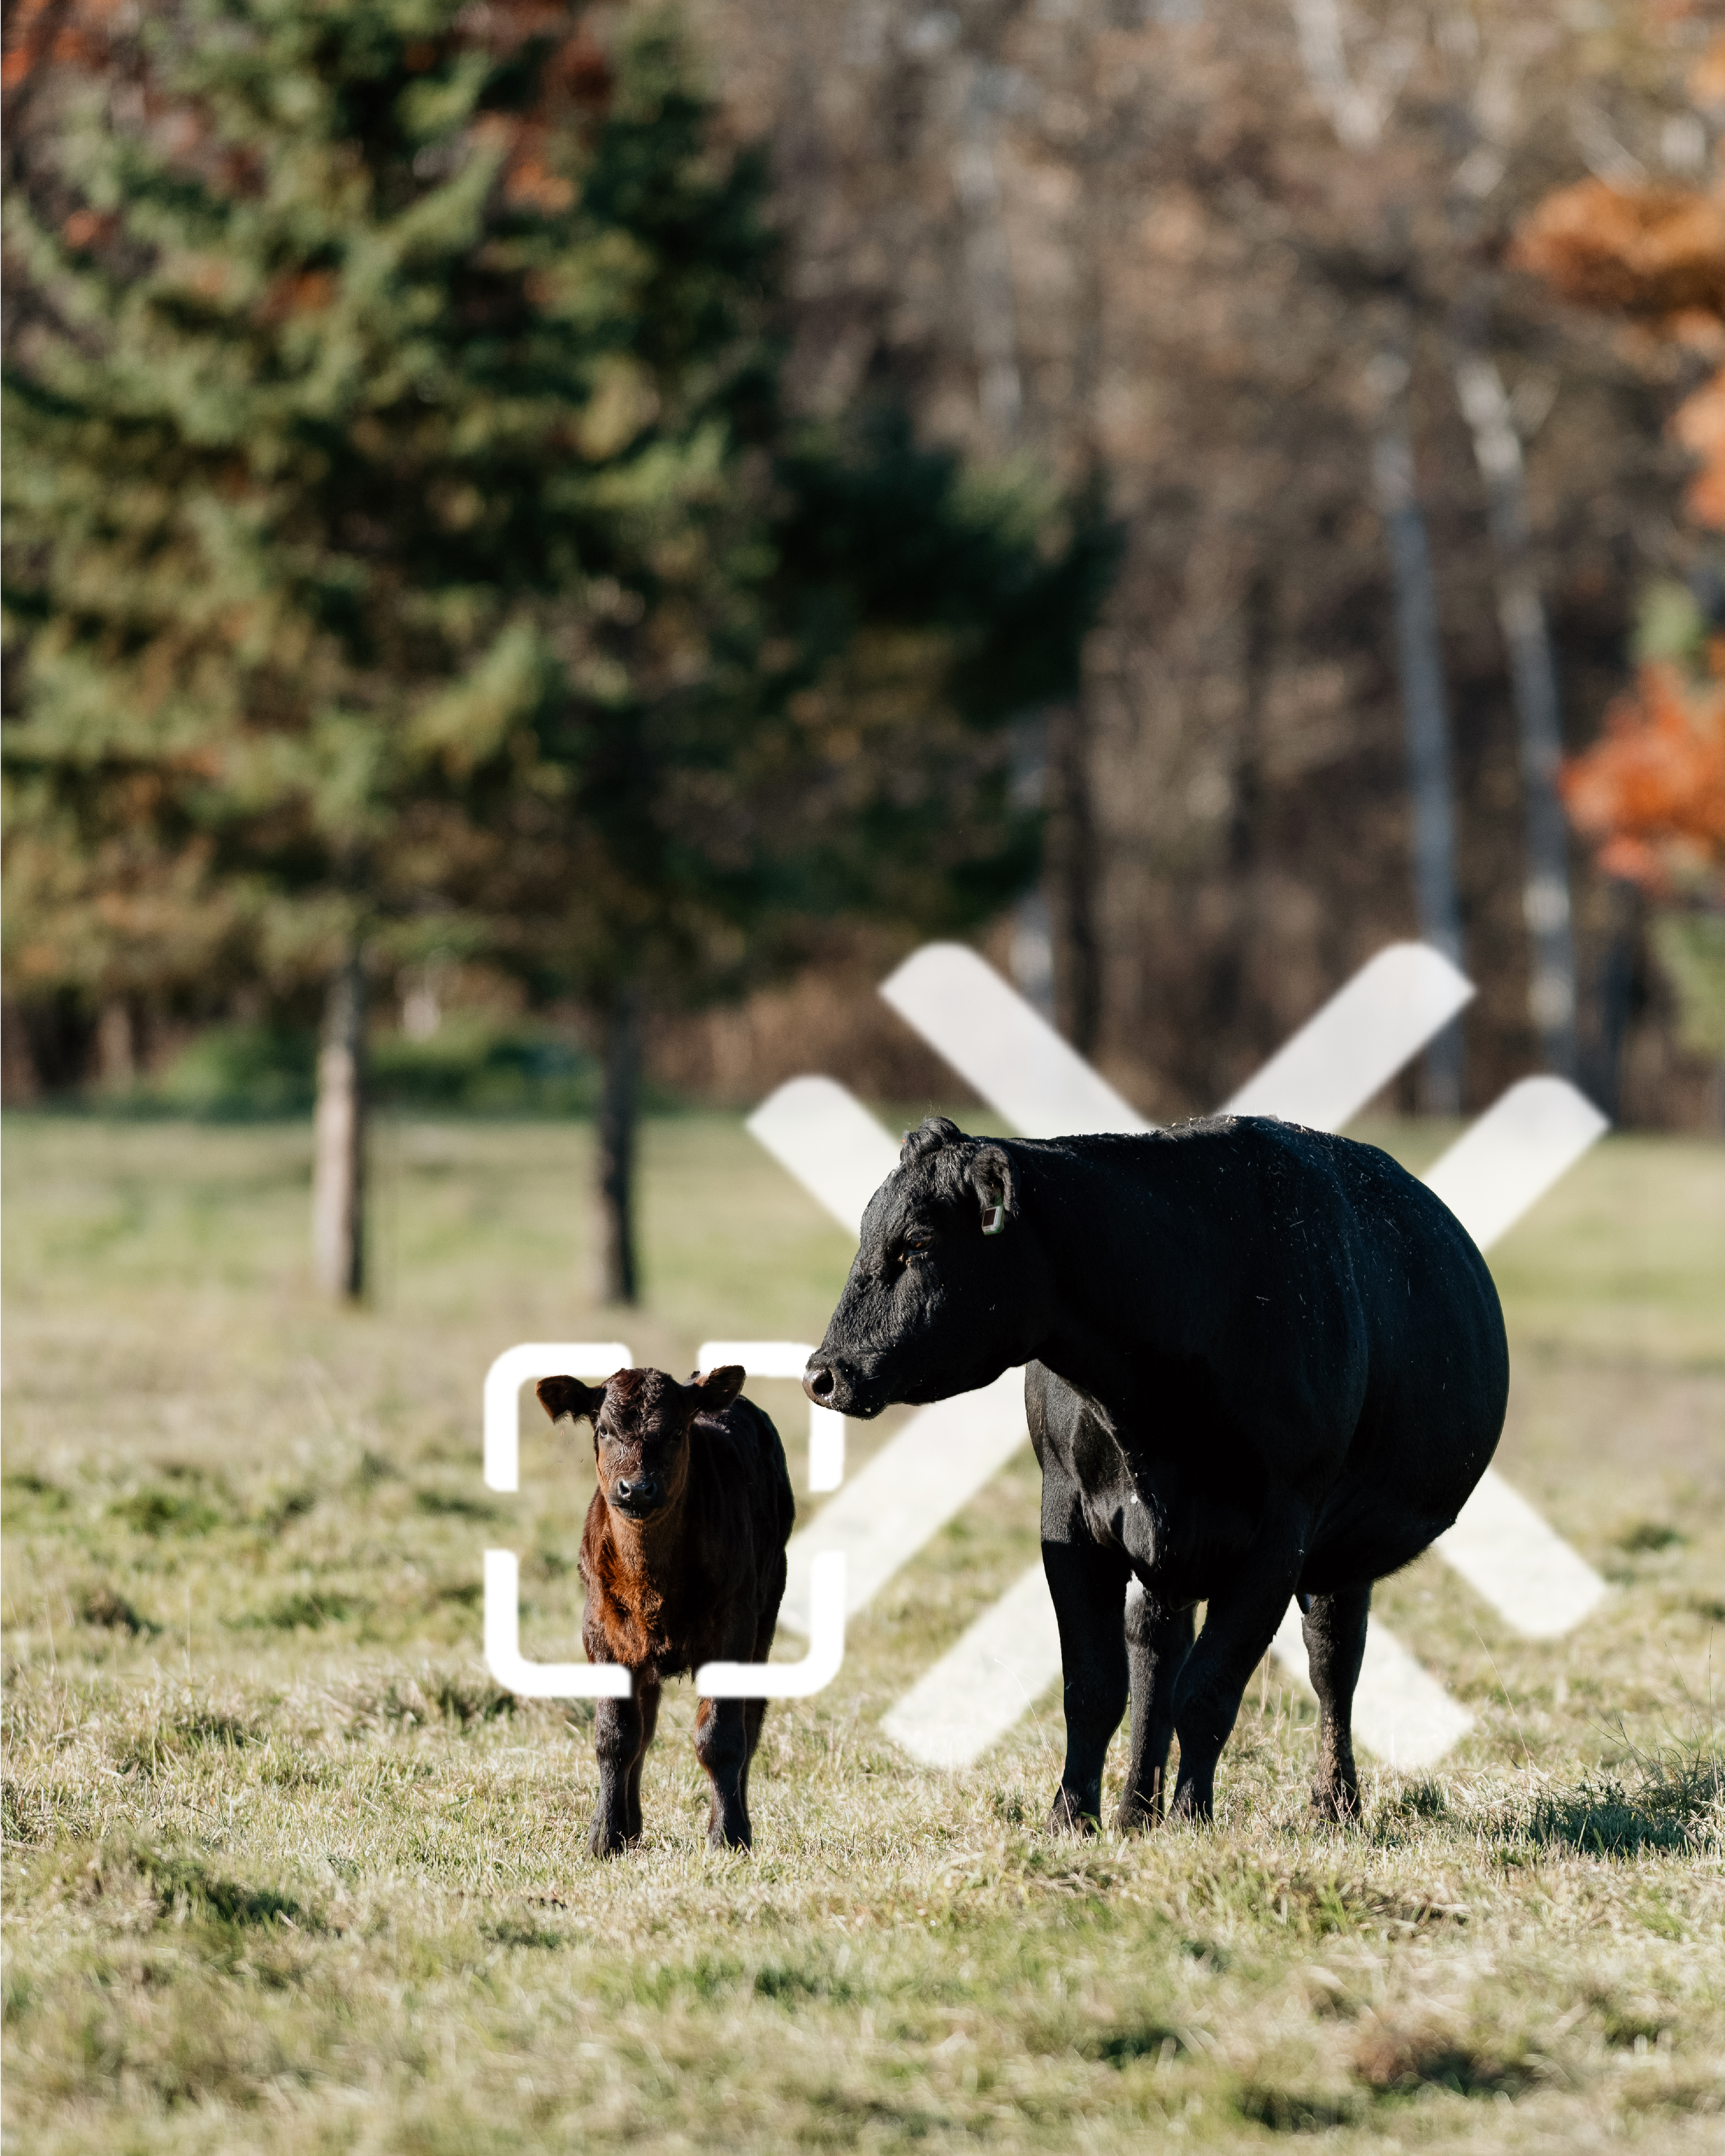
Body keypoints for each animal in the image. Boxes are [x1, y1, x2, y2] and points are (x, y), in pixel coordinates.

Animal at [535, 1364, 795, 1856]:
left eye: (676, 1432)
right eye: (603, 1429)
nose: (636, 1488)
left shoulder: (734, 1627)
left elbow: (721, 1737)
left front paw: (727, 1835)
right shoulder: (601, 1631)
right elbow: (616, 1737)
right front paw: (605, 1836)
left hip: (765, 1619)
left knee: (750, 1725)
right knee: (644, 1728)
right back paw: (631, 1826)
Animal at [803, 1114, 1508, 1832]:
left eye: (918, 1242)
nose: (823, 1374)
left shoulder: (1281, 1535)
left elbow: (1208, 1692)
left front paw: (1192, 1820)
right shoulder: (1068, 1515)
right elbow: (1096, 1688)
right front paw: (1071, 1818)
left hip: (1336, 1556)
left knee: (1331, 1662)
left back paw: (1333, 1807)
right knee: (1154, 1659)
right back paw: (1134, 1813)